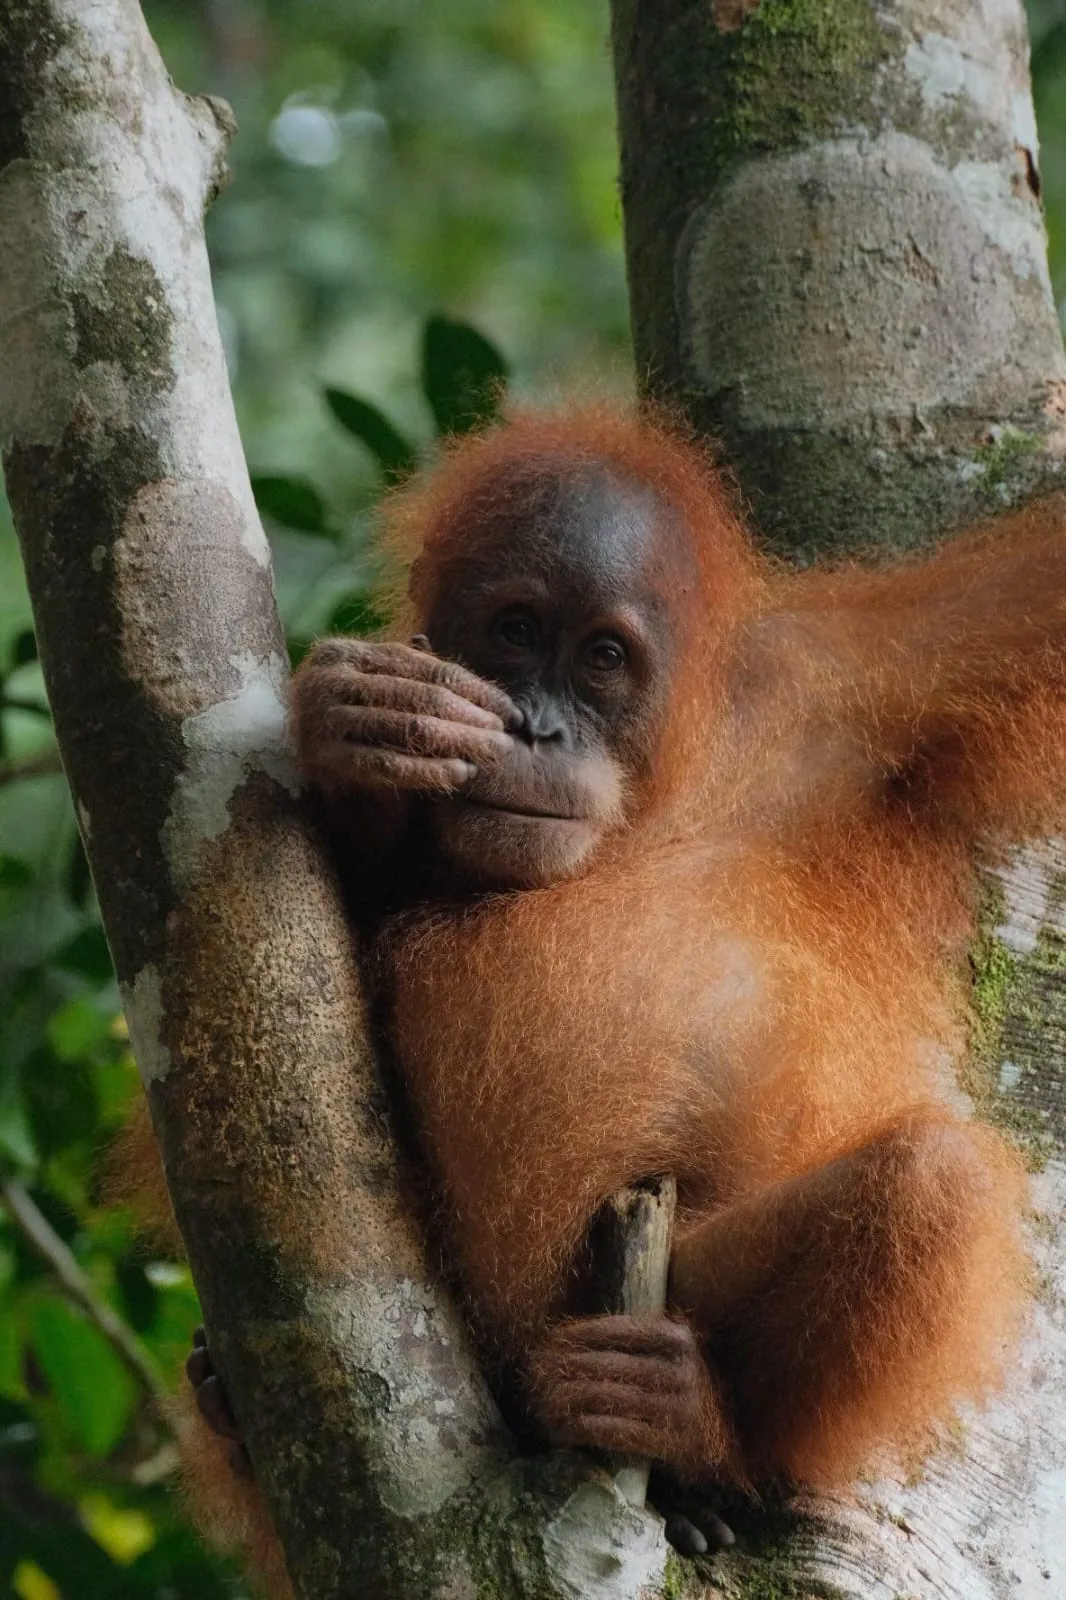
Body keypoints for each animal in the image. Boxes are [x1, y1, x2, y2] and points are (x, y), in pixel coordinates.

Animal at [156, 404, 1053, 1588]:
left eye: (603, 659)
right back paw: (227, 1406)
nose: (537, 728)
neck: (646, 805)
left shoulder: (863, 674)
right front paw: (357, 723)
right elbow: (315, 967)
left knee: (930, 1181)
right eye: (515, 630)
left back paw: (690, 1436)